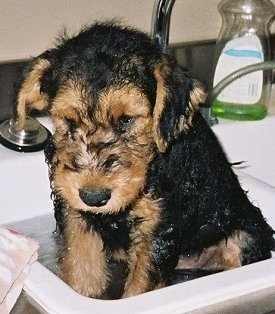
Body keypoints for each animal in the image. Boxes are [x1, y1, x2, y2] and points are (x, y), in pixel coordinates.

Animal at [14, 20, 274, 298]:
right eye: (68, 120)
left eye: (126, 119)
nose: (94, 196)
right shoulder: (75, 213)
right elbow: (82, 269)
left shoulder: (156, 227)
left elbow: (141, 284)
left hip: (242, 235)